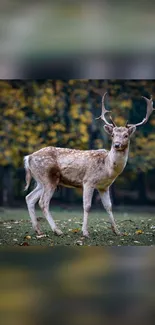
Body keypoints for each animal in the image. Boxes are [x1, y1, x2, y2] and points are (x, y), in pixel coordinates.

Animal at [23, 92, 154, 237]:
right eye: (113, 135)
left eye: (126, 135)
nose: (116, 144)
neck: (107, 168)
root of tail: (28, 157)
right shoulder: (88, 181)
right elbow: (87, 206)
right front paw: (85, 232)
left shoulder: (104, 187)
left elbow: (109, 206)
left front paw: (117, 231)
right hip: (48, 178)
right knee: (43, 202)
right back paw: (57, 230)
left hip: (40, 180)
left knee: (29, 198)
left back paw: (38, 230)